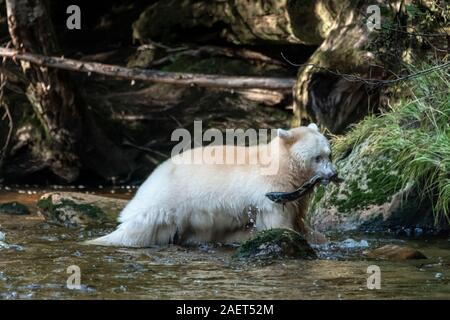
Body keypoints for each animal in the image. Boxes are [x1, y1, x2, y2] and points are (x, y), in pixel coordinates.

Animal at [86, 123, 336, 248]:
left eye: (328, 154)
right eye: (317, 158)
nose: (332, 173)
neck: (282, 164)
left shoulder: (294, 194)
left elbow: (299, 218)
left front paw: (318, 238)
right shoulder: (270, 192)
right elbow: (279, 223)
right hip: (166, 203)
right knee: (137, 230)